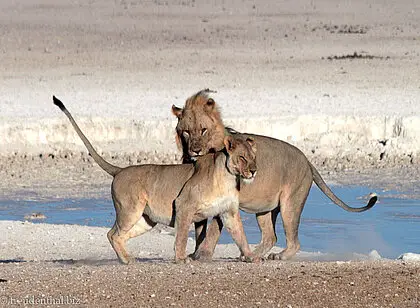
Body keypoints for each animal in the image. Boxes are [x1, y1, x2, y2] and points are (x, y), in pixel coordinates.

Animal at [171, 88, 378, 262]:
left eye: (203, 129)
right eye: (186, 132)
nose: (195, 150)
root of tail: (307, 160)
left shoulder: (226, 200)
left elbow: (213, 228)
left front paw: (203, 254)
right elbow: (200, 229)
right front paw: (195, 253)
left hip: (290, 204)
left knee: (293, 241)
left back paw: (277, 256)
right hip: (264, 208)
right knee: (271, 236)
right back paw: (251, 255)